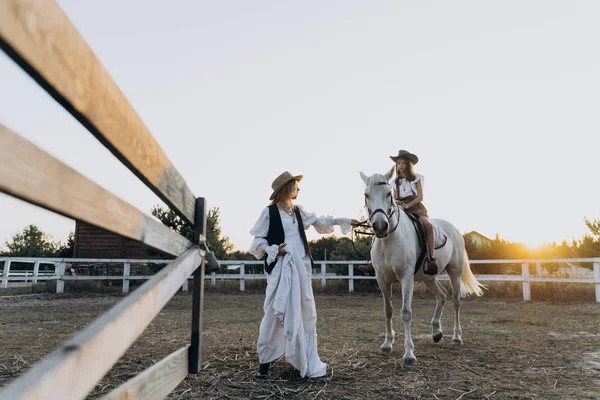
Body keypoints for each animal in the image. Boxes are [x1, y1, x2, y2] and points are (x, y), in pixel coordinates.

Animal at [358, 169, 486, 366]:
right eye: (366, 195)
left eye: (388, 194)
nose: (380, 226)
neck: (389, 240)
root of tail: (455, 229)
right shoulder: (382, 280)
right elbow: (388, 310)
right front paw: (387, 344)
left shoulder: (406, 279)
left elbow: (406, 312)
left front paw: (409, 354)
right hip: (429, 278)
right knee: (441, 296)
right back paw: (436, 332)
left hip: (455, 273)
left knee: (456, 301)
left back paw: (457, 337)